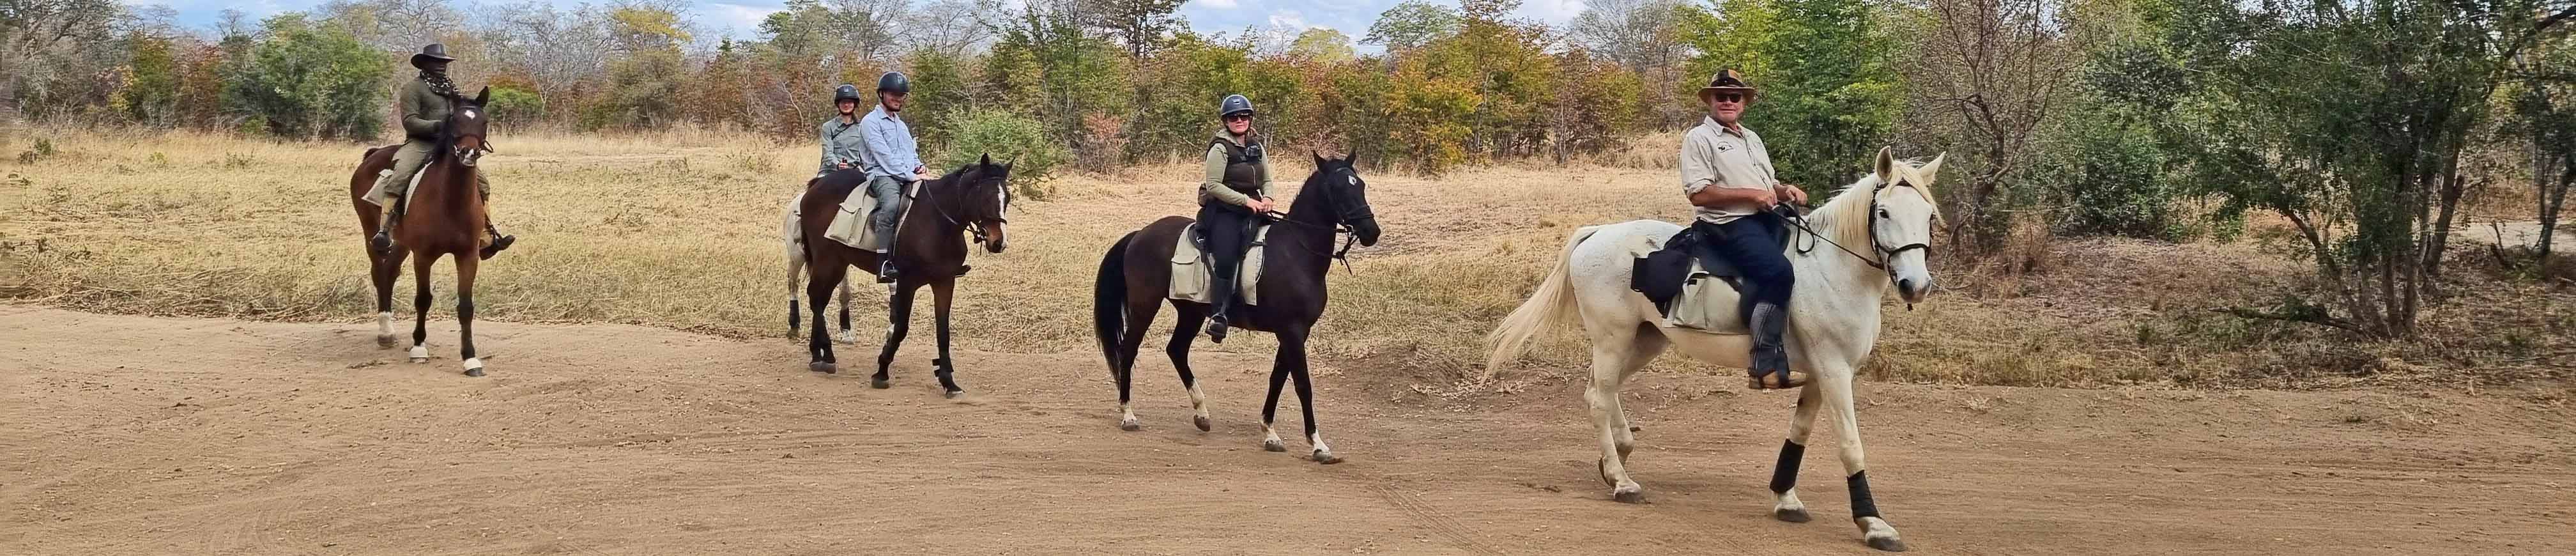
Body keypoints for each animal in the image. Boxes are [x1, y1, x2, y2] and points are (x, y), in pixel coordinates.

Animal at [348, 84, 497, 376]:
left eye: (483, 122)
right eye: (455, 121)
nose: (469, 154)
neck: (450, 200)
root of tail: (373, 155)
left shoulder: (468, 256)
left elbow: (466, 306)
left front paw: (470, 359)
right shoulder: (424, 257)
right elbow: (423, 299)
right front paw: (419, 348)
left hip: (402, 244)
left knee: (390, 273)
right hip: (373, 236)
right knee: (379, 273)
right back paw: (385, 332)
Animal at [798, 154, 1009, 396]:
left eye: (1007, 199)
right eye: (986, 198)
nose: (999, 242)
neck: (938, 222)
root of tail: (817, 186)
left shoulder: (944, 282)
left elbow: (943, 331)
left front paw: (948, 381)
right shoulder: (907, 283)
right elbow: (901, 327)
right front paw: (882, 371)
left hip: (838, 263)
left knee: (819, 300)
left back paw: (818, 355)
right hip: (827, 260)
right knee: (816, 299)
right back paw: (827, 356)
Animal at [1087, 151, 1381, 460]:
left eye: (1361, 185)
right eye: (1338, 188)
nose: (1371, 231)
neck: (1297, 251)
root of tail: (1141, 233)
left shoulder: (1295, 332)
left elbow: (1277, 379)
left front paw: (1270, 433)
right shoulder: (1292, 331)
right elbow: (1303, 385)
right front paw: (1317, 444)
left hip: (1190, 312)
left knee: (1176, 350)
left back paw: (1202, 414)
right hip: (1145, 305)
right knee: (1129, 350)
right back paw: (1128, 415)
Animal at [1483, 146, 1937, 550]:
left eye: (1929, 216)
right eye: (1884, 213)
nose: (1915, 285)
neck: (1835, 270)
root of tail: (1598, 233)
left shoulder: (1821, 374)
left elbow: (1799, 434)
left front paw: (1785, 498)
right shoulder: (1834, 371)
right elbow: (1850, 445)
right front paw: (1874, 524)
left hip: (1645, 341)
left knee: (1600, 391)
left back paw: (1617, 461)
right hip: (1613, 339)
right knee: (1598, 398)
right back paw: (1623, 482)